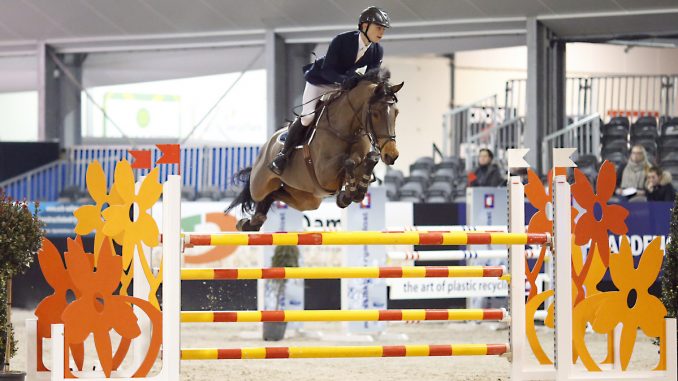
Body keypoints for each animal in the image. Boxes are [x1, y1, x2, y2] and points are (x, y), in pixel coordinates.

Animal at [226, 67, 406, 232]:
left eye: (396, 113)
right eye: (375, 113)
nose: (392, 155)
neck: (347, 130)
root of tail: (266, 146)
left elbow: (367, 160)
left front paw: (353, 191)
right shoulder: (324, 173)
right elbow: (348, 161)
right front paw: (349, 192)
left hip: (307, 199)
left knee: (276, 194)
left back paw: (254, 221)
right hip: (260, 185)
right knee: (262, 194)